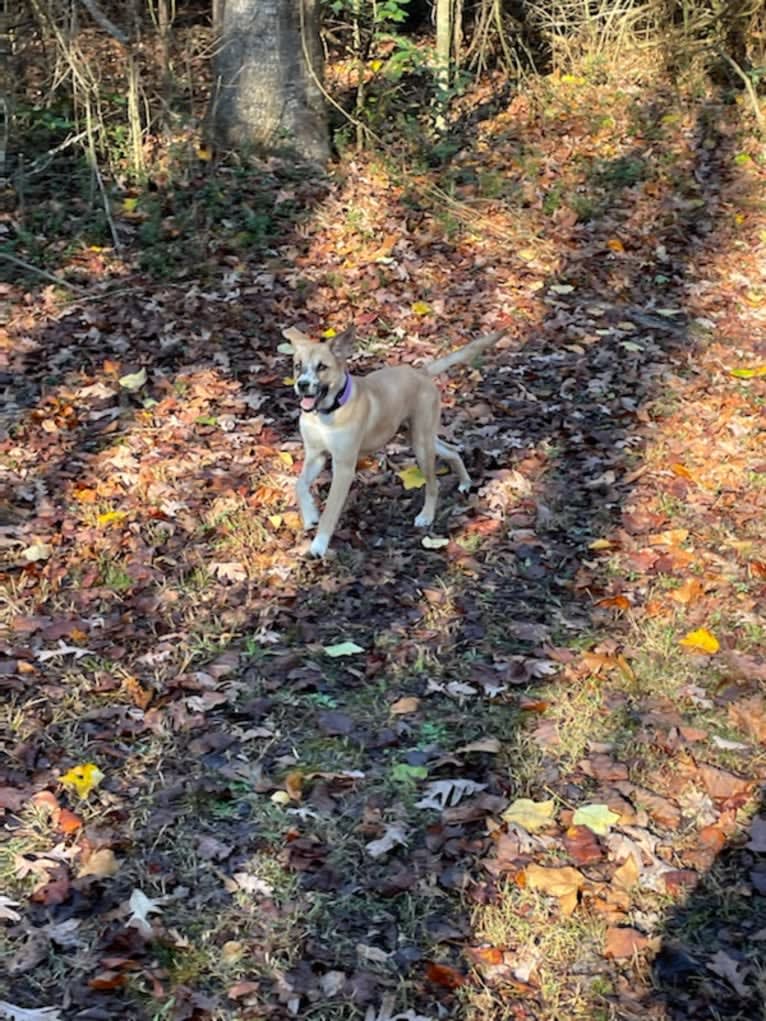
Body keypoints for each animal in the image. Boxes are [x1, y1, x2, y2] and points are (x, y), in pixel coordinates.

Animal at [281, 324, 504, 559]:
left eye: (322, 367)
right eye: (297, 366)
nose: (302, 385)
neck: (327, 413)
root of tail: (420, 372)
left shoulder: (343, 468)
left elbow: (330, 511)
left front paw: (318, 545)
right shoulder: (315, 455)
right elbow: (299, 485)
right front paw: (310, 515)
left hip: (421, 445)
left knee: (434, 483)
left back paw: (426, 516)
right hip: (418, 436)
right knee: (451, 450)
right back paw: (465, 482)